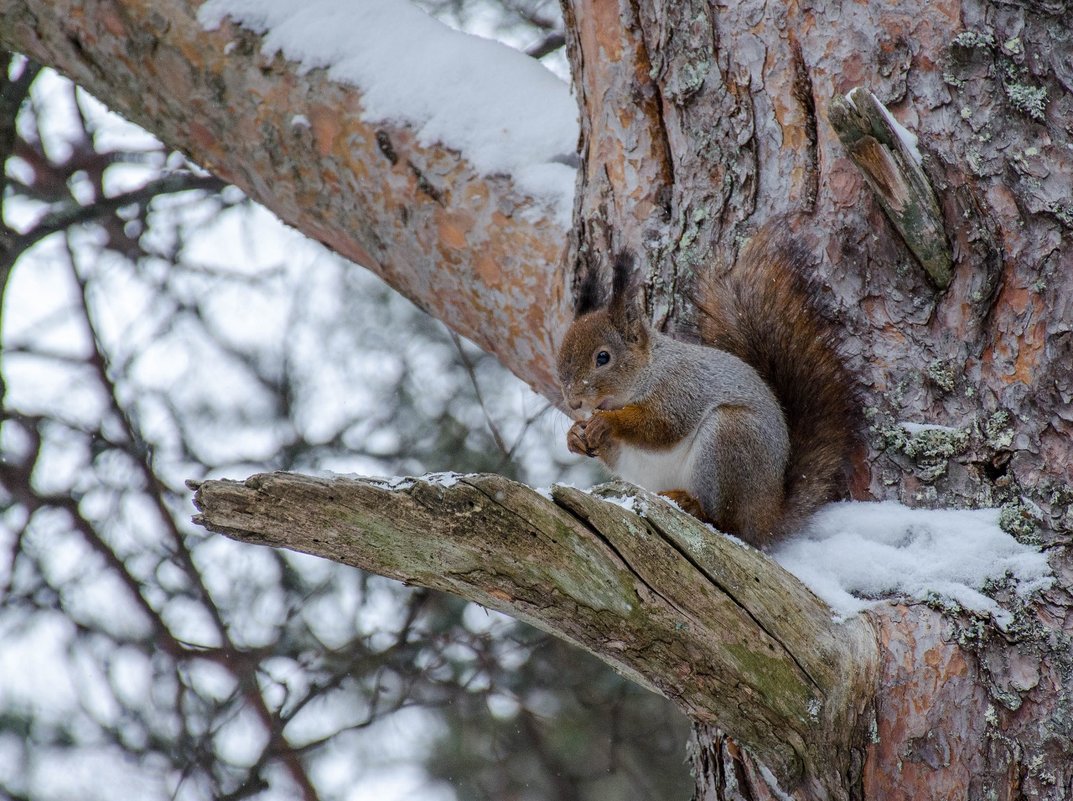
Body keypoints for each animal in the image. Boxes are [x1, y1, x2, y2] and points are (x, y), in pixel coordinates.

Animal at [557, 228, 858, 549]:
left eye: (603, 357)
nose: (573, 403)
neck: (649, 371)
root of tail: (768, 516)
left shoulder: (681, 390)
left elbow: (661, 427)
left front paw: (607, 422)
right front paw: (575, 435)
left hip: (729, 440)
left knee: (727, 523)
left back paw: (693, 505)